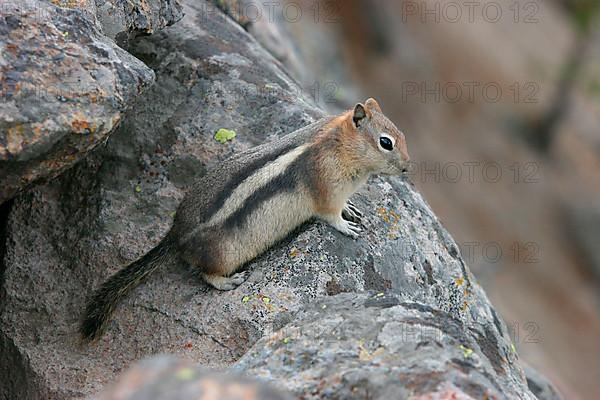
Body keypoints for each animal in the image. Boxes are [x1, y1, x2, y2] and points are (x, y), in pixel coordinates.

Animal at [81, 99, 408, 340]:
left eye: (403, 136)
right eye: (386, 143)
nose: (408, 168)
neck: (339, 145)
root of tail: (174, 235)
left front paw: (351, 208)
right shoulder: (325, 189)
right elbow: (329, 215)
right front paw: (346, 225)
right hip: (223, 254)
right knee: (205, 273)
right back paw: (228, 282)